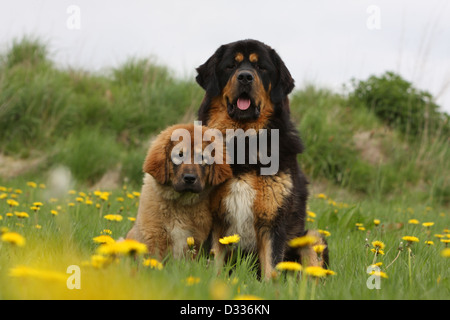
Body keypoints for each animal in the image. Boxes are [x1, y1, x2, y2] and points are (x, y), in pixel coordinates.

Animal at [126, 124, 232, 258]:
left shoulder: (195, 240)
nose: (189, 178)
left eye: (202, 157)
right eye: (179, 155)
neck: (180, 203)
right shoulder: (154, 236)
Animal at [196, 38, 326, 278]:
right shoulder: (215, 219)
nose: (245, 77)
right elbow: (214, 263)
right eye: (231, 66)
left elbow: (271, 267)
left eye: (261, 67)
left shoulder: (272, 220)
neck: (244, 141)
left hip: (312, 237)